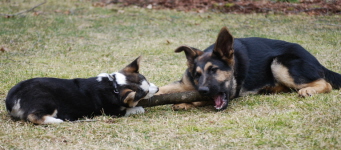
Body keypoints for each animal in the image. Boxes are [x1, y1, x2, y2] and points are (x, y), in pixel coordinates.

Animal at [4, 56, 158, 124]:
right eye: (144, 93)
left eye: (147, 81)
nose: (157, 89)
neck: (113, 85)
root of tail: (12, 99)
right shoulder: (112, 112)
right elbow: (130, 110)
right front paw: (139, 109)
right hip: (47, 101)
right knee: (33, 116)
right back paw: (56, 120)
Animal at [157, 26, 340, 110]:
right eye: (197, 74)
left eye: (214, 70)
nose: (202, 90)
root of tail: (314, 59)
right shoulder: (183, 84)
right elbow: (163, 88)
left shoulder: (231, 92)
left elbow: (199, 99)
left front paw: (185, 103)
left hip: (279, 63)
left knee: (325, 83)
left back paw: (308, 90)